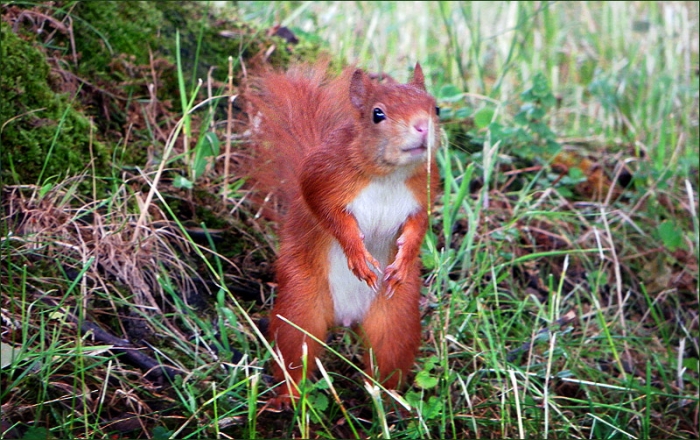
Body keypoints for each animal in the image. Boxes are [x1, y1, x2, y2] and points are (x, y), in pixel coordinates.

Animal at [244, 60, 440, 408]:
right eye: (378, 114)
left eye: (437, 108)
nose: (422, 127)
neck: (389, 175)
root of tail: (347, 316)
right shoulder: (323, 178)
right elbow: (330, 216)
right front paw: (358, 256)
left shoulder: (424, 191)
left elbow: (420, 224)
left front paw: (404, 259)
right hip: (301, 304)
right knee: (295, 350)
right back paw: (287, 397)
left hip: (396, 318)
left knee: (387, 359)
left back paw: (388, 403)